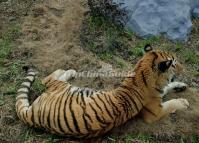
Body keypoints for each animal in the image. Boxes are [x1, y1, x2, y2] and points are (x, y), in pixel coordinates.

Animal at [15, 44, 190, 138]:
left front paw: (181, 85)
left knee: (47, 79)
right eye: (175, 63)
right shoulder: (154, 113)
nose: (184, 68)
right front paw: (183, 102)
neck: (141, 71)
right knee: (48, 79)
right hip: (64, 87)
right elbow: (170, 104)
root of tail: (31, 115)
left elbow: (168, 88)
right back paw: (70, 70)